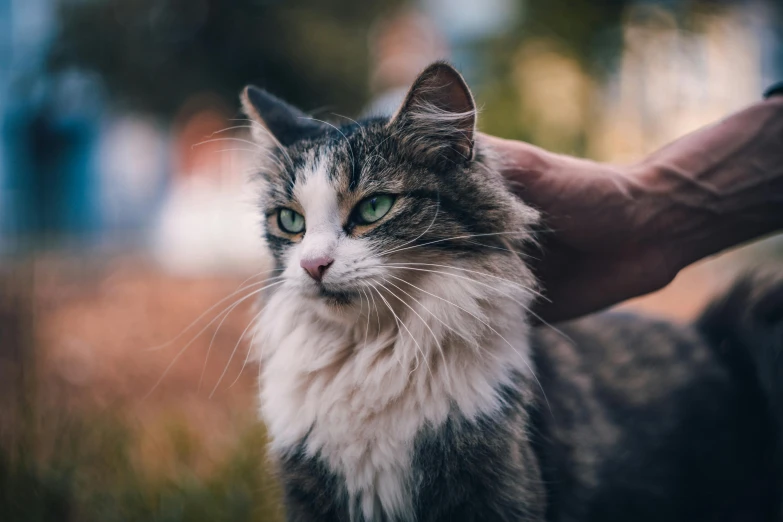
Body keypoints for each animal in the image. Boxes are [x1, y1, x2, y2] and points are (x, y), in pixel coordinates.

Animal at [239, 63, 783, 516]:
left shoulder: (492, 488)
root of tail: (706, 332)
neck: (372, 352)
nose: (313, 265)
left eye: (374, 208)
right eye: (289, 221)